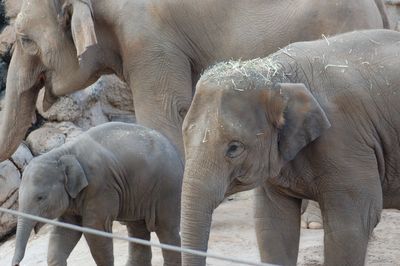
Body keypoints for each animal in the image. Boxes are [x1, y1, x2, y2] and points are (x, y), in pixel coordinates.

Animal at [10, 122, 183, 266]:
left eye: (40, 198)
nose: (16, 264)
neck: (61, 153)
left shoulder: (100, 186)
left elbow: (94, 231)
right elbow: (64, 231)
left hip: (168, 188)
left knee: (166, 229)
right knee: (137, 229)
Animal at [182, 29, 400, 266]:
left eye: (234, 148)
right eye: (184, 135)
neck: (277, 74)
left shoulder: (346, 139)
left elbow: (351, 224)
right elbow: (273, 223)